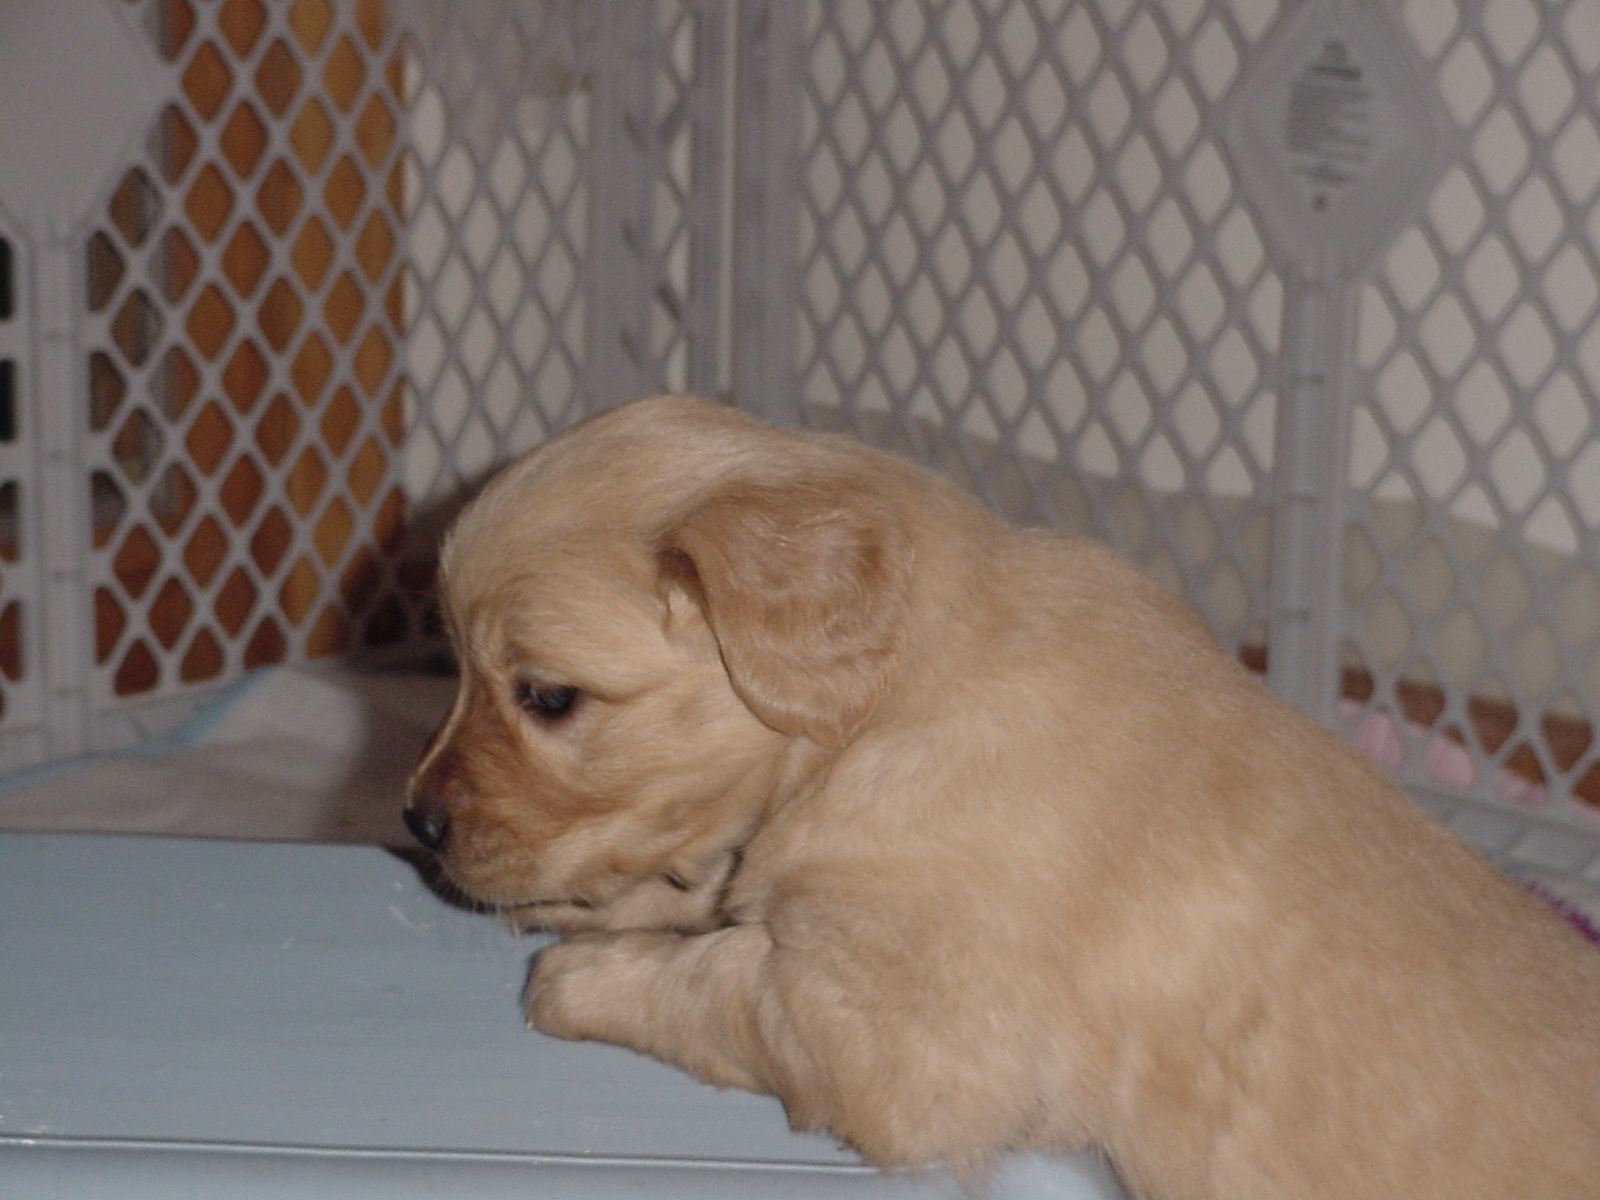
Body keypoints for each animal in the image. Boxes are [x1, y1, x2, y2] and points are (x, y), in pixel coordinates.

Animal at [409, 396, 1600, 1200]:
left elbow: (715, 981)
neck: (894, 706)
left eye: (548, 697)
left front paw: (582, 974)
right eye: (452, 664)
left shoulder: (899, 1044)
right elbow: (705, 897)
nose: (415, 821)